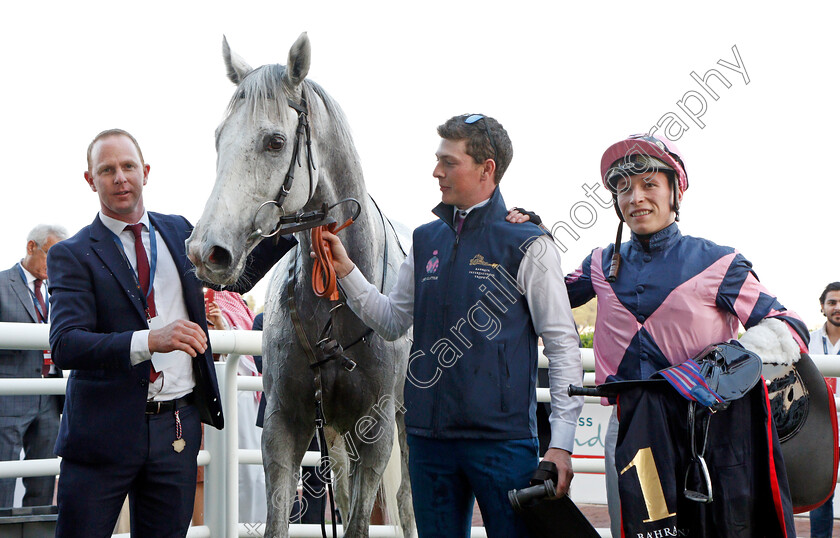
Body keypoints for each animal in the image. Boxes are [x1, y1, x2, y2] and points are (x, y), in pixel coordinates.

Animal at [187, 34, 416, 536]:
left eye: (275, 141)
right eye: (218, 137)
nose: (206, 251)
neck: (339, 303)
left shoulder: (378, 430)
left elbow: (360, 522)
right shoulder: (285, 424)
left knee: (408, 502)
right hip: (335, 433)